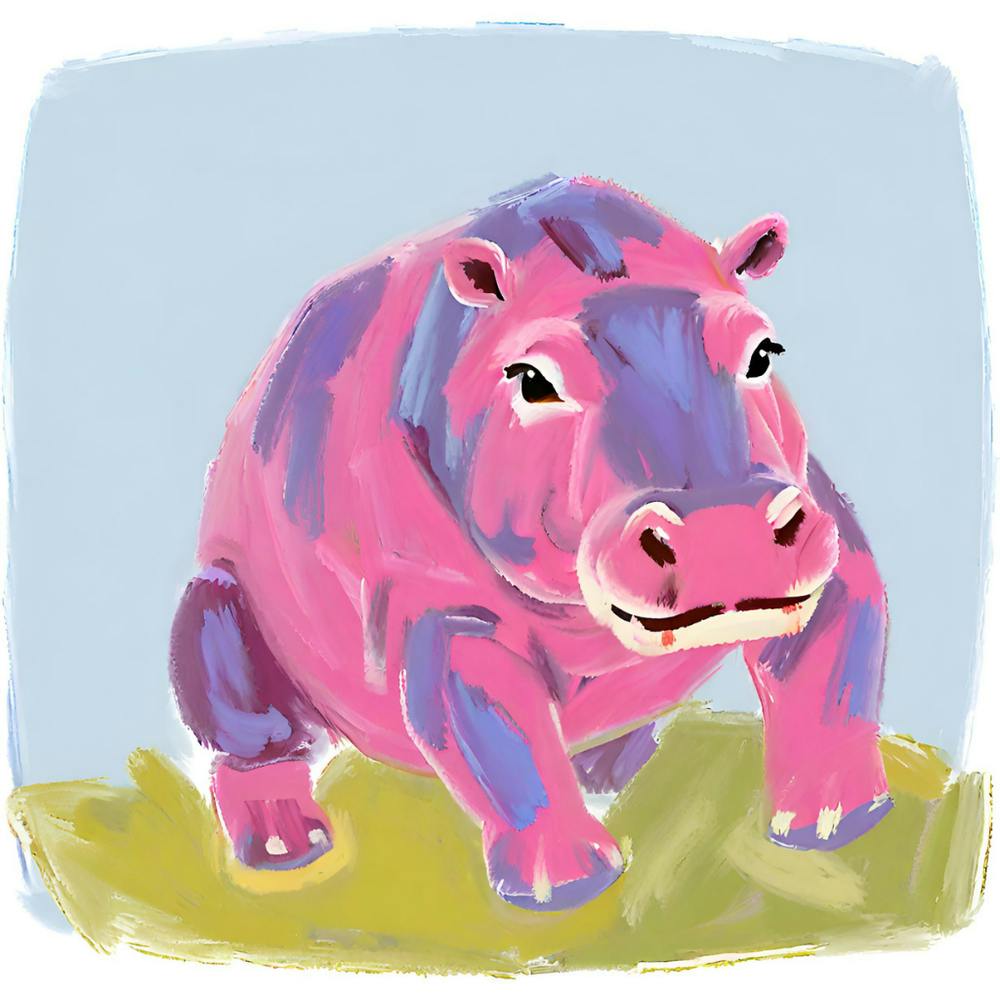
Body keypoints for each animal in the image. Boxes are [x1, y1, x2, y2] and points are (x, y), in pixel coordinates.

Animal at [169, 175, 891, 911]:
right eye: (532, 378)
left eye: (763, 351)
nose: (725, 529)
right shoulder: (448, 601)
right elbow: (494, 727)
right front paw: (564, 889)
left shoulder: (821, 527)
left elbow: (832, 664)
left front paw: (836, 823)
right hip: (215, 610)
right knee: (251, 734)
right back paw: (290, 851)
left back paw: (605, 768)